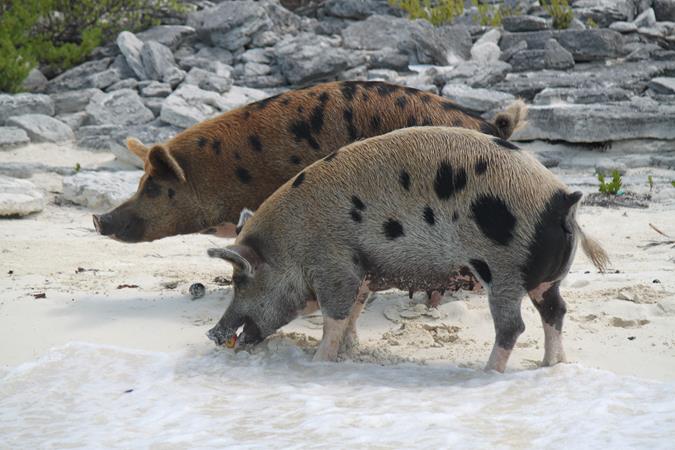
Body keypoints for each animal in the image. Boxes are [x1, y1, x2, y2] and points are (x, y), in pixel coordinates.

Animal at [205, 125, 608, 372]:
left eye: (239, 280)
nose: (212, 333)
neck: (291, 242)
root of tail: (562, 200)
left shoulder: (335, 264)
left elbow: (335, 313)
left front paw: (319, 361)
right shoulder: (364, 268)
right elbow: (355, 308)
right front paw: (350, 350)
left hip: (503, 270)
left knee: (514, 326)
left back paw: (486, 372)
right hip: (546, 280)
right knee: (556, 311)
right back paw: (551, 365)